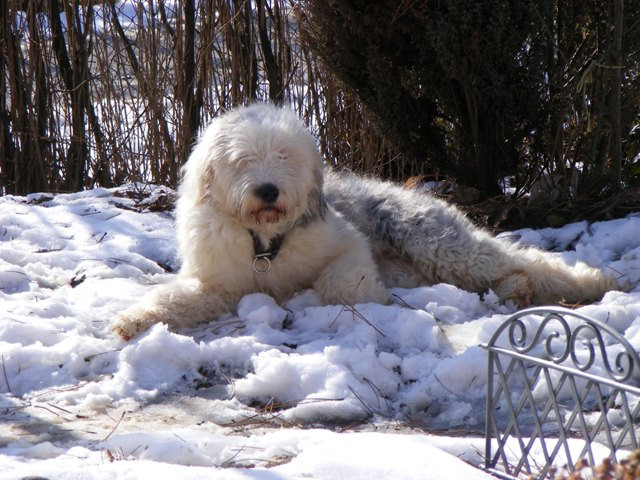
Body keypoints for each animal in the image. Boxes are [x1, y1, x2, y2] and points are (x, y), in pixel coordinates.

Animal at [111, 103, 620, 340]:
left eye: (284, 156)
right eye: (243, 159)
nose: (268, 191)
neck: (267, 243)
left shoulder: (345, 245)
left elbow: (339, 281)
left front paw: (365, 298)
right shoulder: (218, 282)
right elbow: (174, 299)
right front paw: (131, 322)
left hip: (437, 243)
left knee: (519, 260)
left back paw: (581, 281)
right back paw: (518, 290)